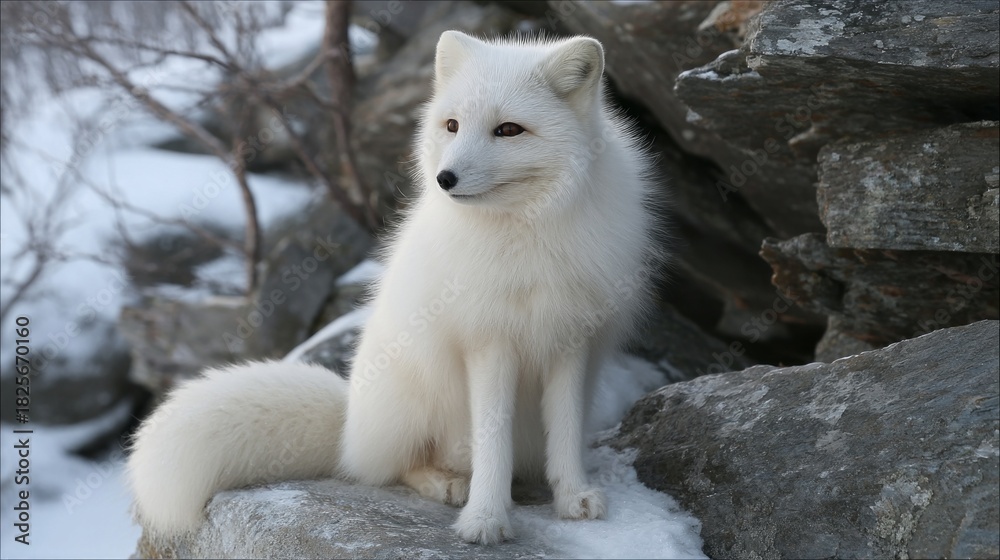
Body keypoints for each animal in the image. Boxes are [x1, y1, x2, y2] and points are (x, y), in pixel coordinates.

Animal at [127, 30, 657, 545]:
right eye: (452, 125)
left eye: (509, 130)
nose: (445, 178)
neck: (530, 232)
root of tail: (348, 424)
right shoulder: (488, 341)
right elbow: (492, 438)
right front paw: (485, 518)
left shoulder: (571, 339)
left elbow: (564, 432)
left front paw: (572, 497)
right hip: (415, 405)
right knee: (393, 470)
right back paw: (448, 483)